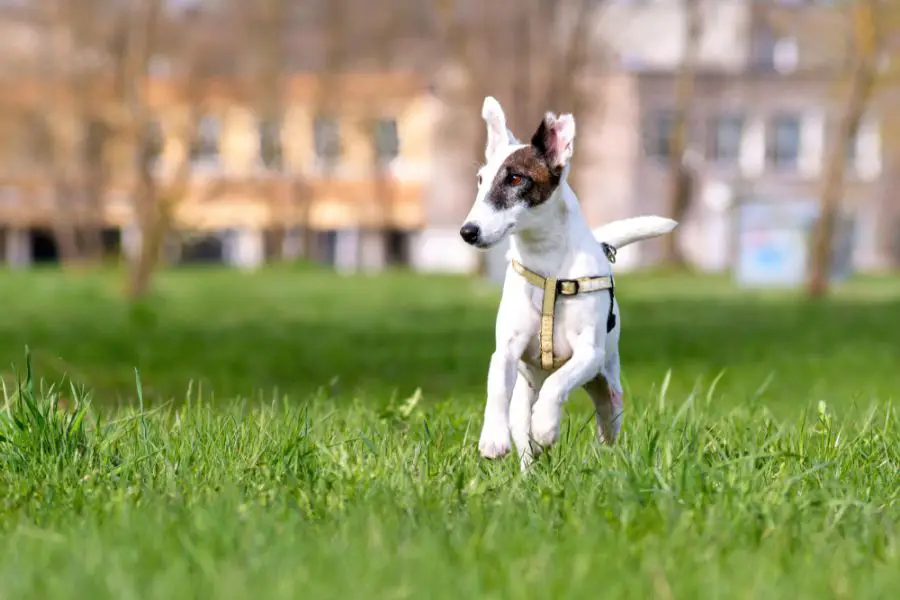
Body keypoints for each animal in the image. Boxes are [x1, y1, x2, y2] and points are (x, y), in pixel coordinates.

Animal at [458, 96, 676, 472]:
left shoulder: (588, 353)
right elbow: (496, 388)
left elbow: (558, 384)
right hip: (523, 400)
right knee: (524, 435)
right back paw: (529, 470)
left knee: (605, 426)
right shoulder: (506, 350)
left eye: (515, 178)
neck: (547, 264)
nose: (468, 231)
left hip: (608, 393)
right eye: (481, 180)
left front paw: (547, 425)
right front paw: (492, 439)